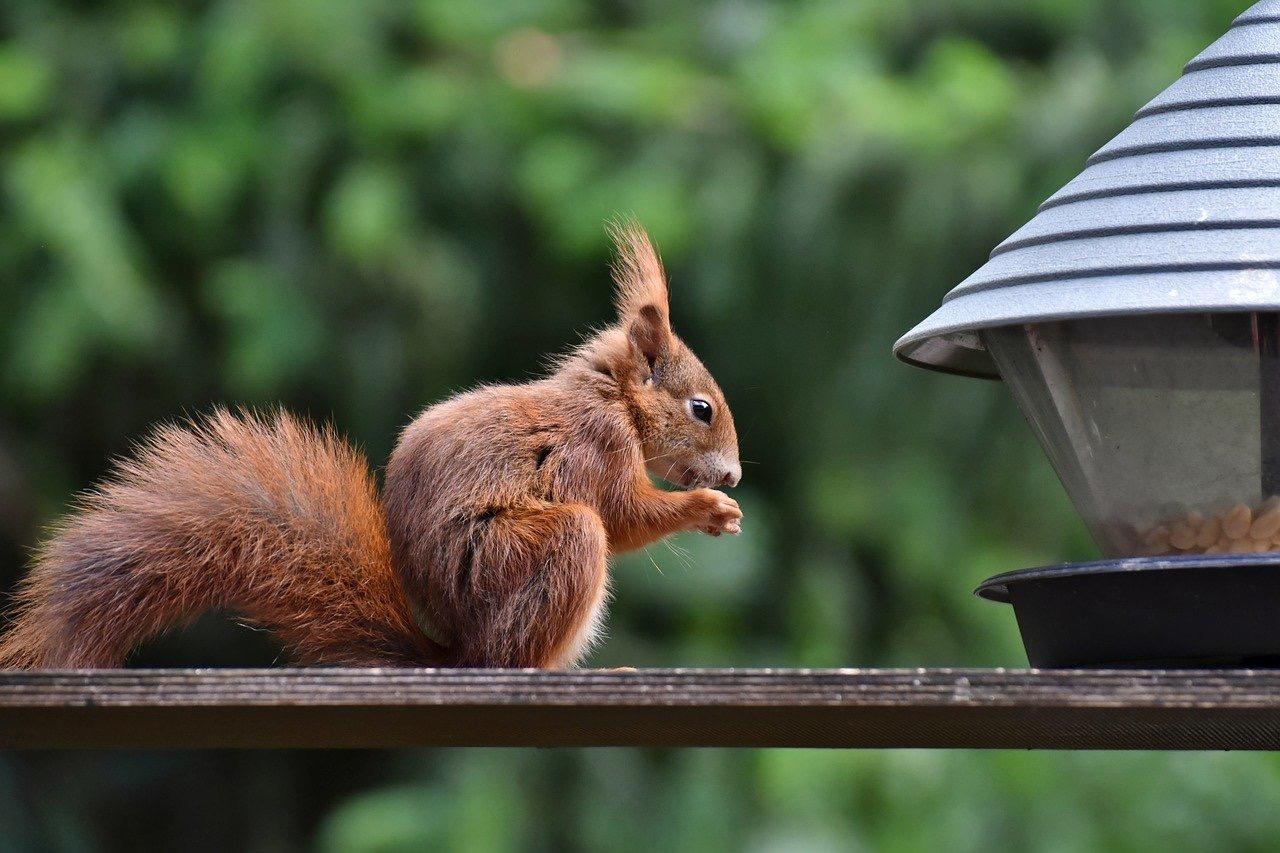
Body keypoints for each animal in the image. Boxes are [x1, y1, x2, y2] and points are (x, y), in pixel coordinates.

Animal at [0, 222, 742, 666]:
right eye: (701, 408)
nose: (733, 475)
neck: (612, 399)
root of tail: (456, 652)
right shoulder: (595, 447)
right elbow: (622, 515)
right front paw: (706, 509)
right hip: (531, 555)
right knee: (534, 618)